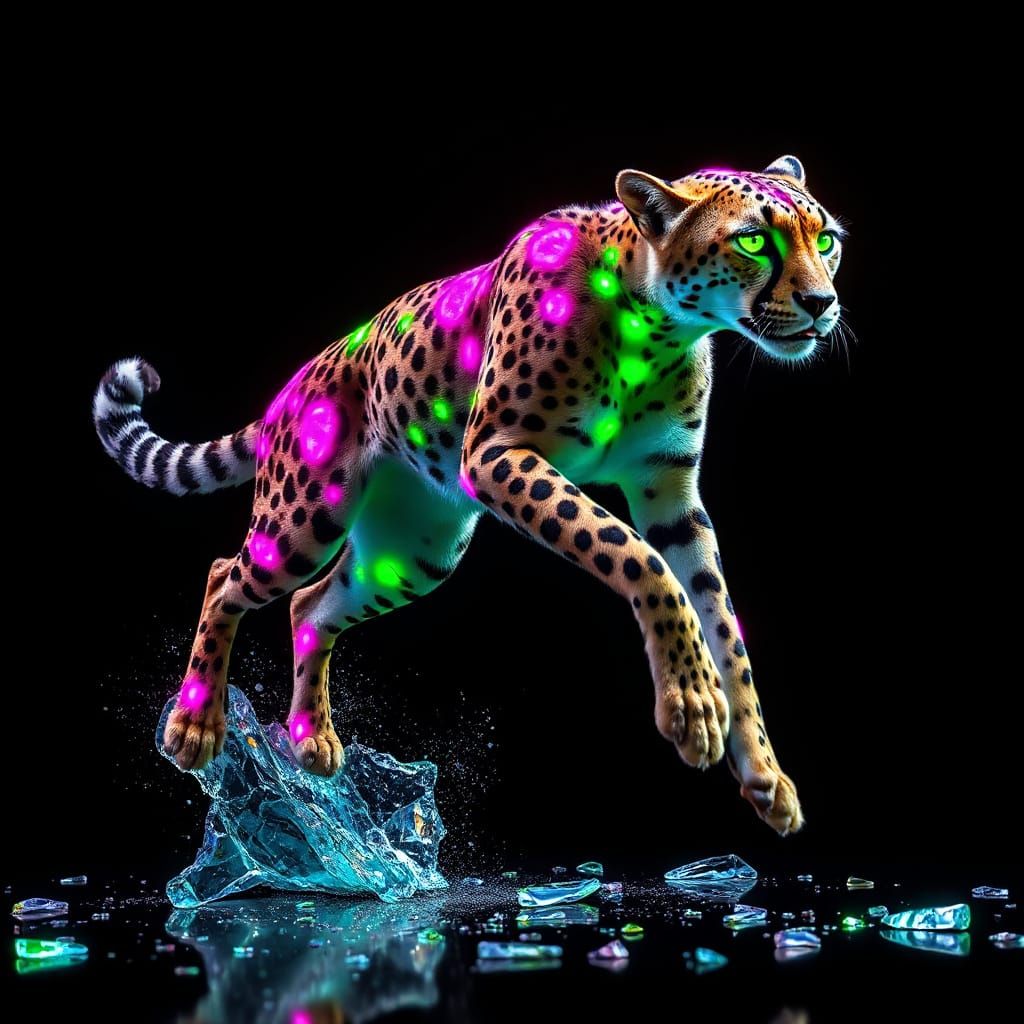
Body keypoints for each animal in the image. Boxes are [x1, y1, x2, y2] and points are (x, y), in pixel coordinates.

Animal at [94, 155, 844, 834]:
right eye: (754, 241)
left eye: (826, 239)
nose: (822, 304)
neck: (658, 330)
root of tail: (298, 379)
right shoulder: (492, 455)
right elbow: (635, 556)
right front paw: (692, 701)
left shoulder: (673, 498)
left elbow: (723, 624)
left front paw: (764, 772)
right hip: (302, 519)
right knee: (225, 576)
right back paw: (195, 724)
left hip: (415, 553)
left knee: (311, 607)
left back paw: (311, 737)